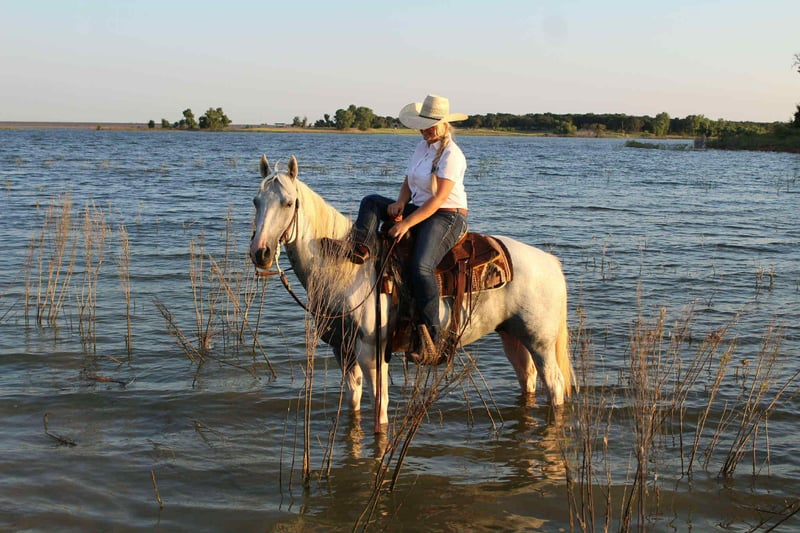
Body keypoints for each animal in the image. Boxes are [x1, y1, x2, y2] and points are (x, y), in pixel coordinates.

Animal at [249, 154, 572, 432]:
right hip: (512, 335)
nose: (260, 253)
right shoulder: (343, 350)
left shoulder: (371, 352)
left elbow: (379, 409)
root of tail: (550, 262)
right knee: (528, 378)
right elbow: (354, 402)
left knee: (554, 384)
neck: (346, 268)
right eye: (256, 201)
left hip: (540, 342)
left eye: (288, 203)